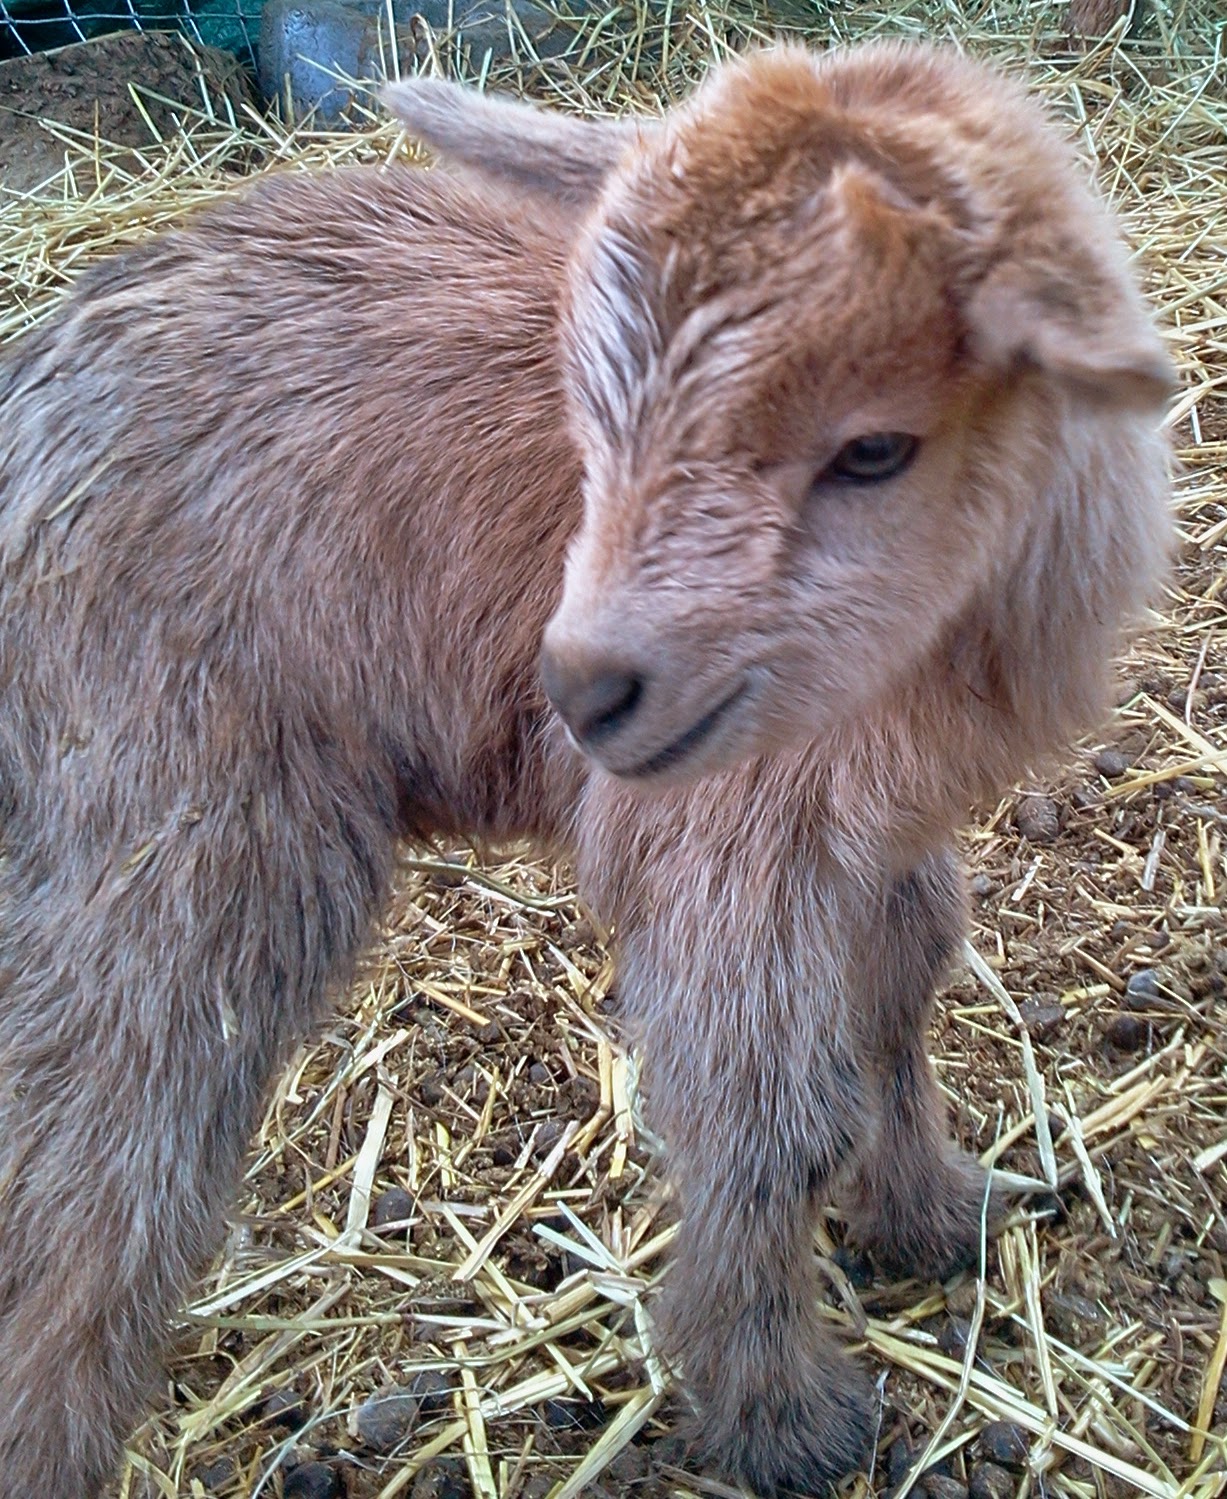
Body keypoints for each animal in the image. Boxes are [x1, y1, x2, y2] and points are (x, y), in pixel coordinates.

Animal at [0, 40, 1171, 1496]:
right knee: (102, 1161)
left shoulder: (881, 822)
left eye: (873, 446)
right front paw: (780, 1412)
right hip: (173, 814)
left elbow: (899, 989)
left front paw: (929, 1211)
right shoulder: (720, 842)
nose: (586, 688)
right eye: (594, 413)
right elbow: (768, 1121)